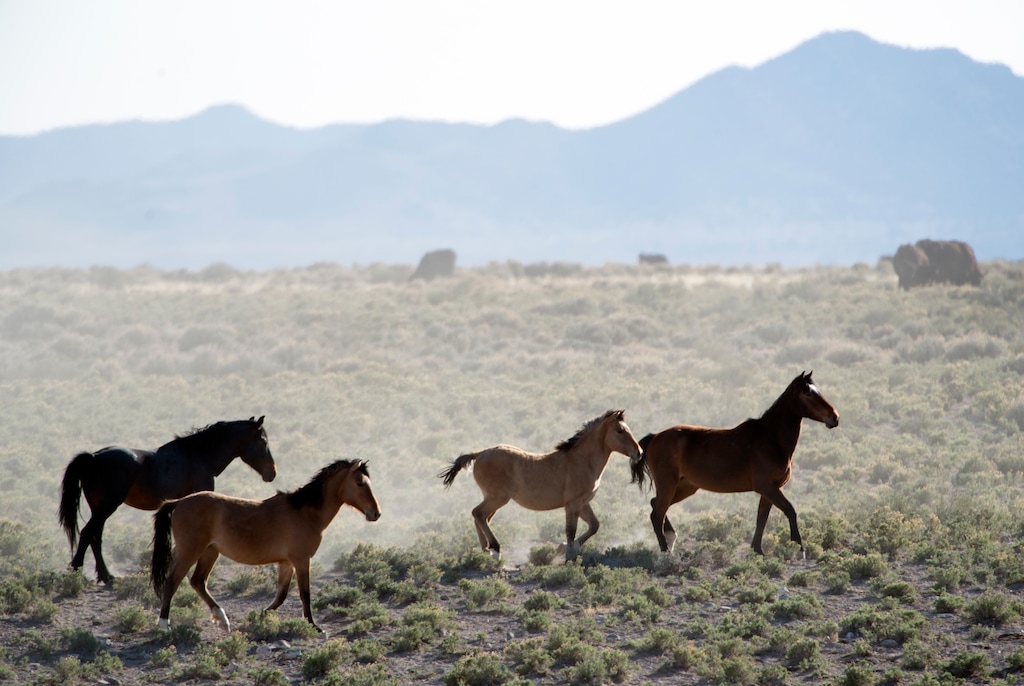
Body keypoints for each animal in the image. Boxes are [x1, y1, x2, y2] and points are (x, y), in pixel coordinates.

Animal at [58, 416, 276, 583]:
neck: (199, 456)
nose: (272, 473)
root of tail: (93, 457)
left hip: (99, 508)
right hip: (106, 507)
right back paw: (76, 572)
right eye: (263, 442)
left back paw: (106, 576)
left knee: (95, 537)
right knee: (88, 533)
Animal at [151, 459, 381, 635]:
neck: (304, 513)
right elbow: (304, 594)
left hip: (210, 552)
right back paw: (164, 625)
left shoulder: (287, 563)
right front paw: (315, 627)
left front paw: (258, 617)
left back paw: (223, 620)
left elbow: (281, 595)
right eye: (360, 483)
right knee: (172, 582)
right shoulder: (301, 560)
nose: (376, 513)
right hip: (190, 552)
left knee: (198, 582)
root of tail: (179, 502)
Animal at [439, 410, 642, 561]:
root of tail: (480, 453)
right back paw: (495, 550)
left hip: (493, 498)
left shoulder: (583, 503)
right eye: (619, 430)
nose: (639, 452)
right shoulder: (573, 503)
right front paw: (567, 554)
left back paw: (485, 551)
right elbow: (571, 531)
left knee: (482, 517)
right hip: (498, 498)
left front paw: (565, 548)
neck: (582, 460)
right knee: (478, 513)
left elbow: (594, 526)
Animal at [631, 372, 838, 557]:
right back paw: (666, 551)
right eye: (808, 393)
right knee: (657, 513)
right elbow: (790, 510)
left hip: (686, 487)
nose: (834, 417)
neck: (770, 439)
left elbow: (762, 518)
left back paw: (670, 540)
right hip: (668, 484)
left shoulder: (770, 489)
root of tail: (655, 437)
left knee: (655, 505)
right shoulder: (767, 487)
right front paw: (799, 549)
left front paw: (758, 550)